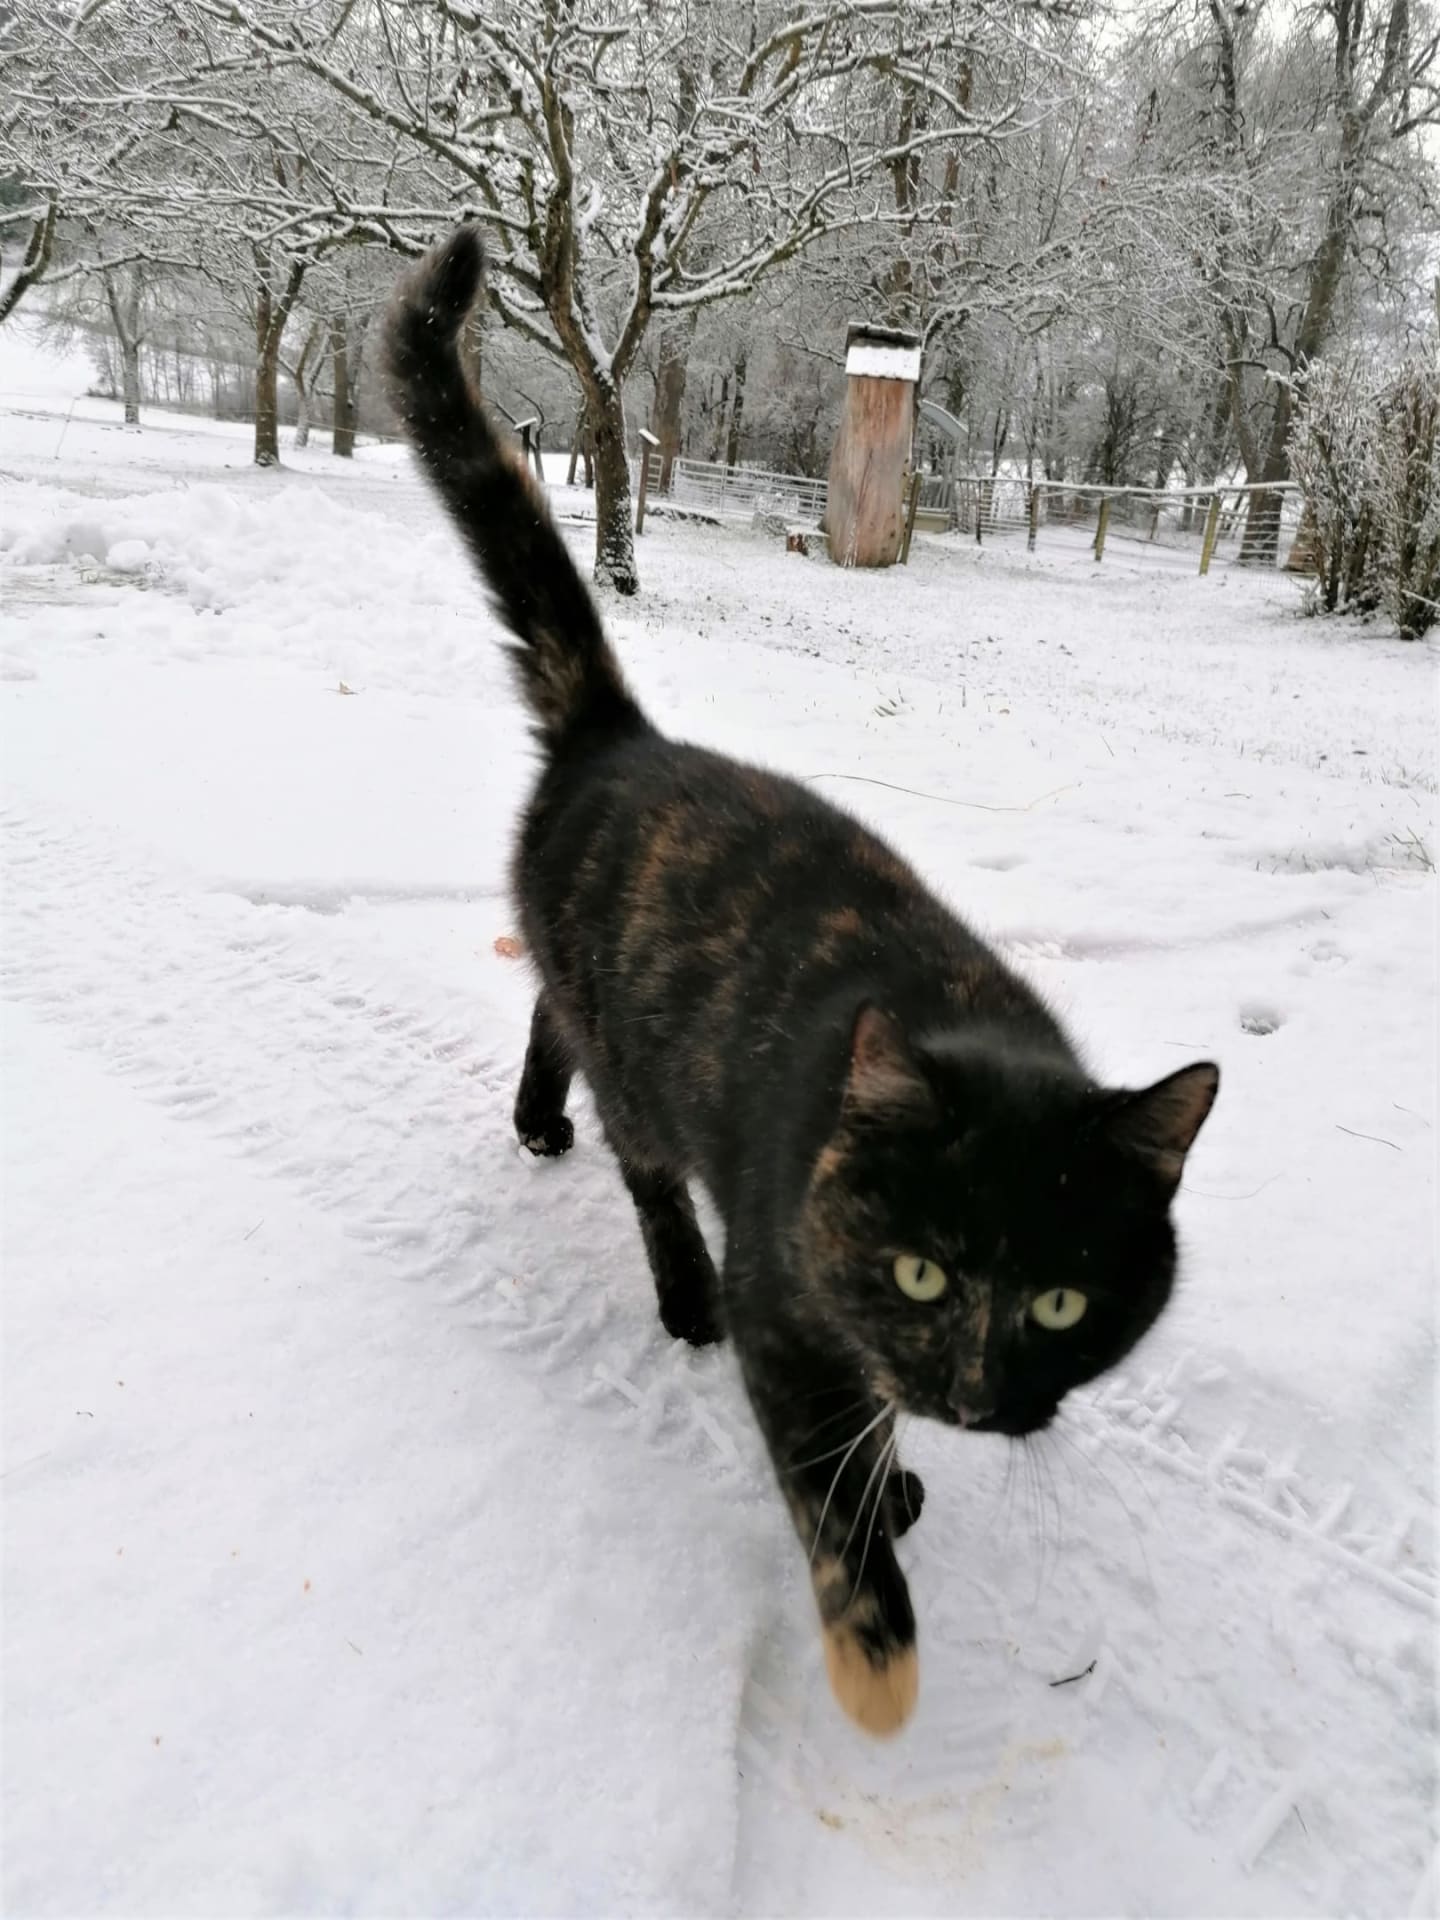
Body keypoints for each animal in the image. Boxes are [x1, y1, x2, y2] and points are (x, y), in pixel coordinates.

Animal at [384, 228, 1219, 1739]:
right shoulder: (794, 1310)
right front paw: (876, 1660)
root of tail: (621, 738)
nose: (972, 1391)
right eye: (923, 1271)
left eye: (1063, 1305)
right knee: (639, 1155)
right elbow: (831, 1509)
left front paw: (898, 1476)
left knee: (552, 1013)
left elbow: (866, 1440)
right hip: (653, 1090)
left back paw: (540, 1120)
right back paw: (658, 1268)